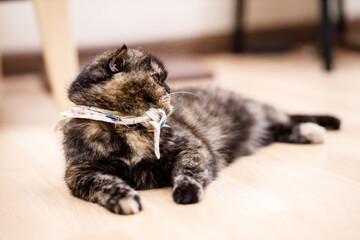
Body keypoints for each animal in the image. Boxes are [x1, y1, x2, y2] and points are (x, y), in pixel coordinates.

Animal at [59, 44, 340, 214]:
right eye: (156, 78)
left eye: (165, 78)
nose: (170, 89)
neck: (129, 125)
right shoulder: (80, 172)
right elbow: (104, 184)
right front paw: (124, 199)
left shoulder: (192, 148)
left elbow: (187, 170)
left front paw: (186, 192)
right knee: (278, 128)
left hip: (255, 112)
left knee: (283, 118)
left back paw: (323, 125)